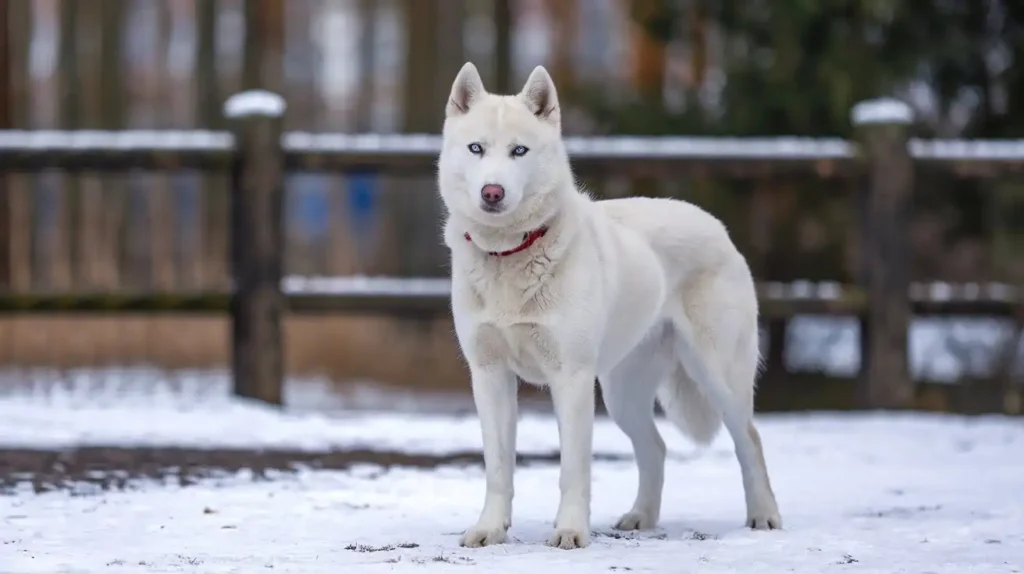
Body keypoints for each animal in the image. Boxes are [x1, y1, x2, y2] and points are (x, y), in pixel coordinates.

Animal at [438, 60, 782, 548]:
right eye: (476, 149)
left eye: (519, 151)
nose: (492, 192)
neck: (511, 254)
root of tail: (718, 227)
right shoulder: (490, 376)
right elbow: (499, 468)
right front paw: (490, 529)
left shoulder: (571, 379)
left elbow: (572, 470)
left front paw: (570, 532)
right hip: (622, 393)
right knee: (655, 447)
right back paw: (642, 518)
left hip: (719, 379)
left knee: (750, 441)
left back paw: (765, 517)